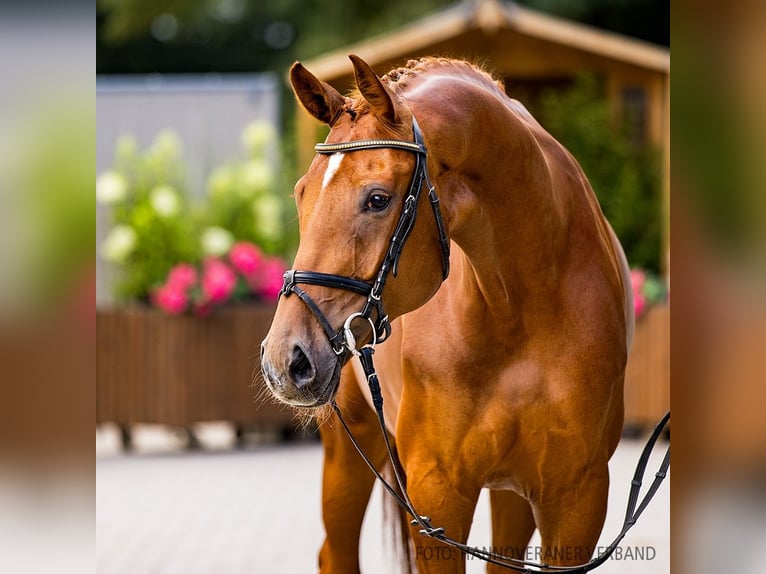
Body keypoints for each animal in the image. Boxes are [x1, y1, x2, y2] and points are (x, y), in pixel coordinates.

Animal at [262, 55, 636, 574]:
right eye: (302, 193)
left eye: (377, 199)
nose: (285, 360)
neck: (520, 308)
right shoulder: (438, 495)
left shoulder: (577, 500)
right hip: (349, 444)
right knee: (334, 551)